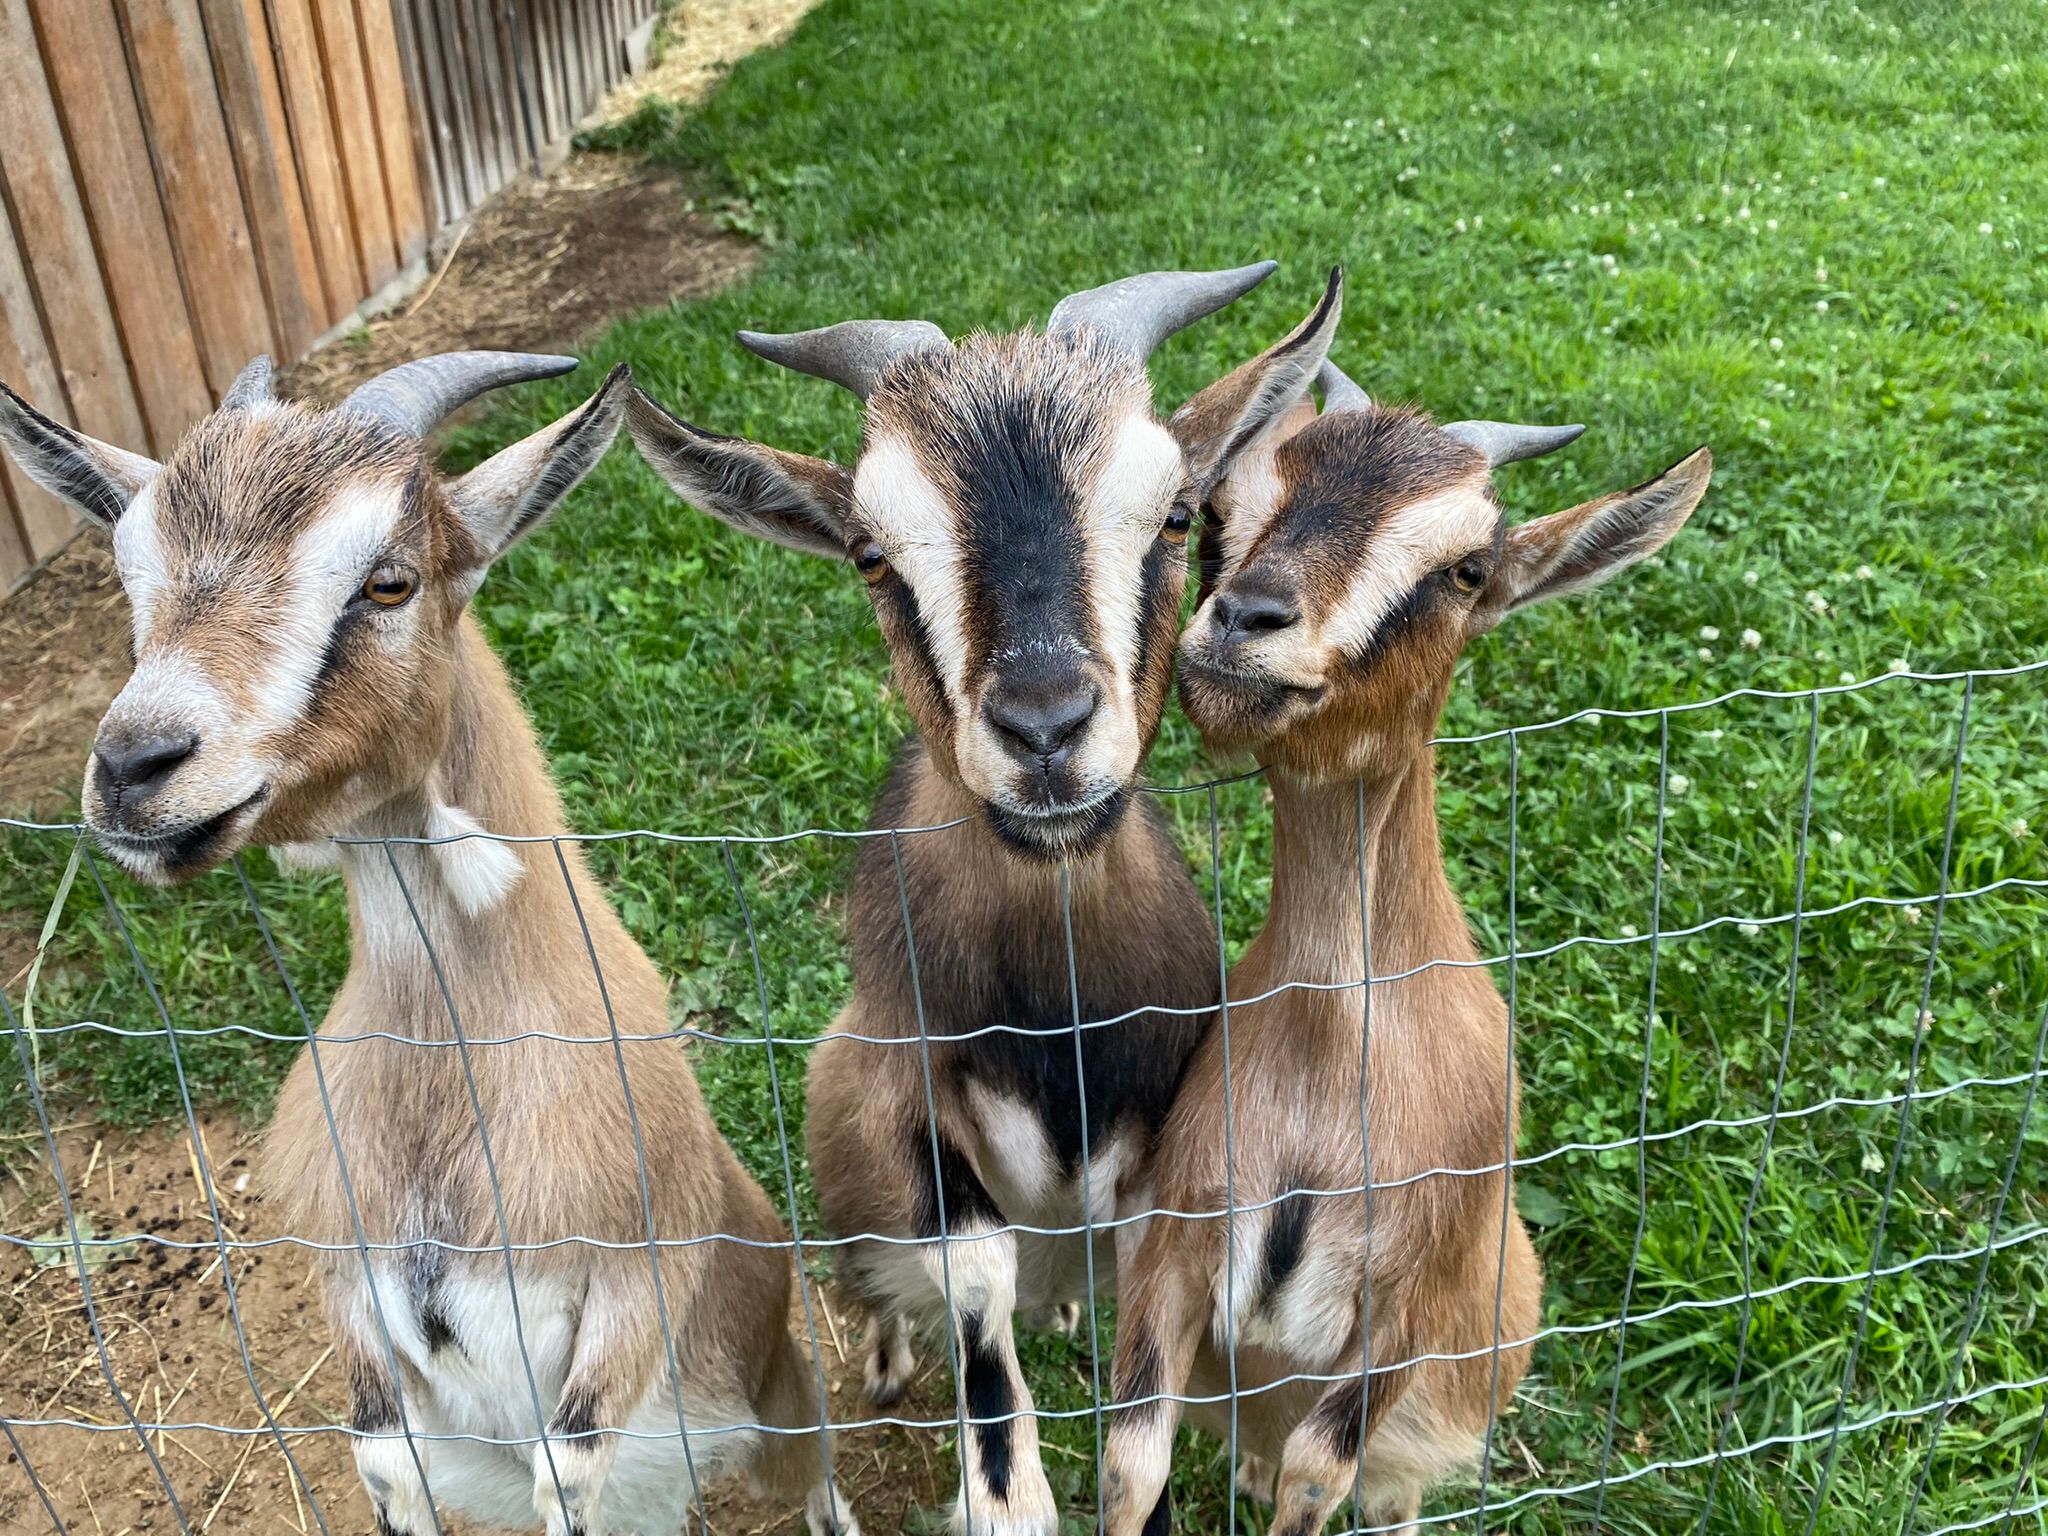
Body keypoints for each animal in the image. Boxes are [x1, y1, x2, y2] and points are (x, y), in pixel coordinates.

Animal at [0, 355, 860, 1536]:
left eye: (388, 582)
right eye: (135, 580)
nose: (135, 767)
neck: (450, 1075)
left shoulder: (640, 1272)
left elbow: (566, 1468)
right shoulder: (351, 1291)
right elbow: (382, 1459)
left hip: (778, 1412)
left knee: (813, 1474)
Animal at [626, 266, 1346, 1535]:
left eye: (1176, 515)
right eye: (867, 553)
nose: (1045, 729)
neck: (1052, 1011)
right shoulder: (894, 1089)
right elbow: (973, 1274)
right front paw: (1004, 1494)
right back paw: (883, 1361)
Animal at [1100, 352, 1712, 1536]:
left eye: (1468, 567)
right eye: (1219, 514)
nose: (1245, 621)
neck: (1333, 1041)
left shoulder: (1403, 1317)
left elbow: (1315, 1476)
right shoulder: (1172, 1252)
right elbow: (1132, 1463)